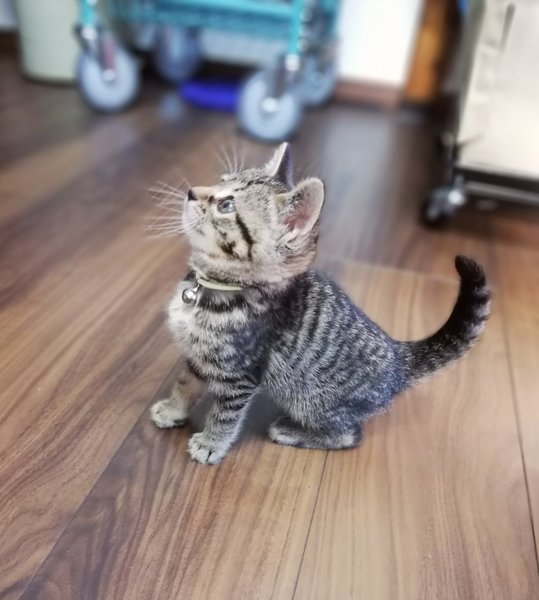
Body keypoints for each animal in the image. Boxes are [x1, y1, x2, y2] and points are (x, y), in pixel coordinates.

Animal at [150, 143, 490, 465]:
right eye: (219, 181)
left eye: (226, 205)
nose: (192, 191)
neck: (212, 288)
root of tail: (398, 357)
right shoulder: (199, 354)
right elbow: (186, 381)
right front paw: (173, 408)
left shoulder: (241, 375)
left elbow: (225, 415)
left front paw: (211, 443)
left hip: (312, 400)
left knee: (350, 435)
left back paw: (291, 431)